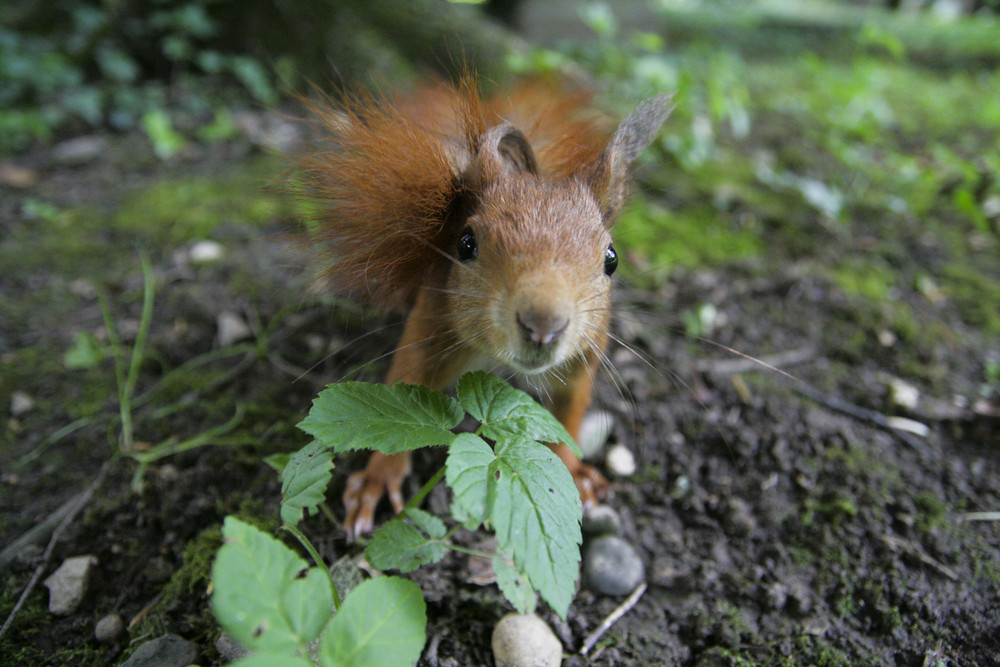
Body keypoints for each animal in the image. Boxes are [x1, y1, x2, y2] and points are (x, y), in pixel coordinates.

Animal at [296, 75, 672, 540]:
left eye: (612, 259)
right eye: (466, 244)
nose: (543, 324)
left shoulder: (585, 352)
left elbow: (568, 416)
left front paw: (573, 471)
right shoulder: (431, 323)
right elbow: (403, 397)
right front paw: (378, 480)